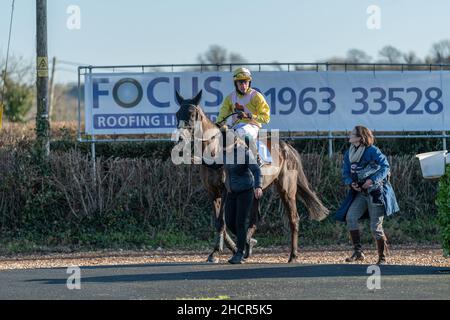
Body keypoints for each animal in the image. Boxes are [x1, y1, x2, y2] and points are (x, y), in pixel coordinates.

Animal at [171, 89, 326, 262]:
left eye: (192, 114)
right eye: (177, 114)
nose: (179, 138)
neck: (215, 150)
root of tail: (288, 147)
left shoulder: (226, 191)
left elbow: (222, 221)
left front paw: (219, 251)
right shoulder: (212, 192)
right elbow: (220, 223)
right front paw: (225, 250)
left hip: (287, 190)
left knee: (294, 218)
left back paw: (293, 255)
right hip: (257, 190)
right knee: (254, 219)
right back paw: (249, 243)